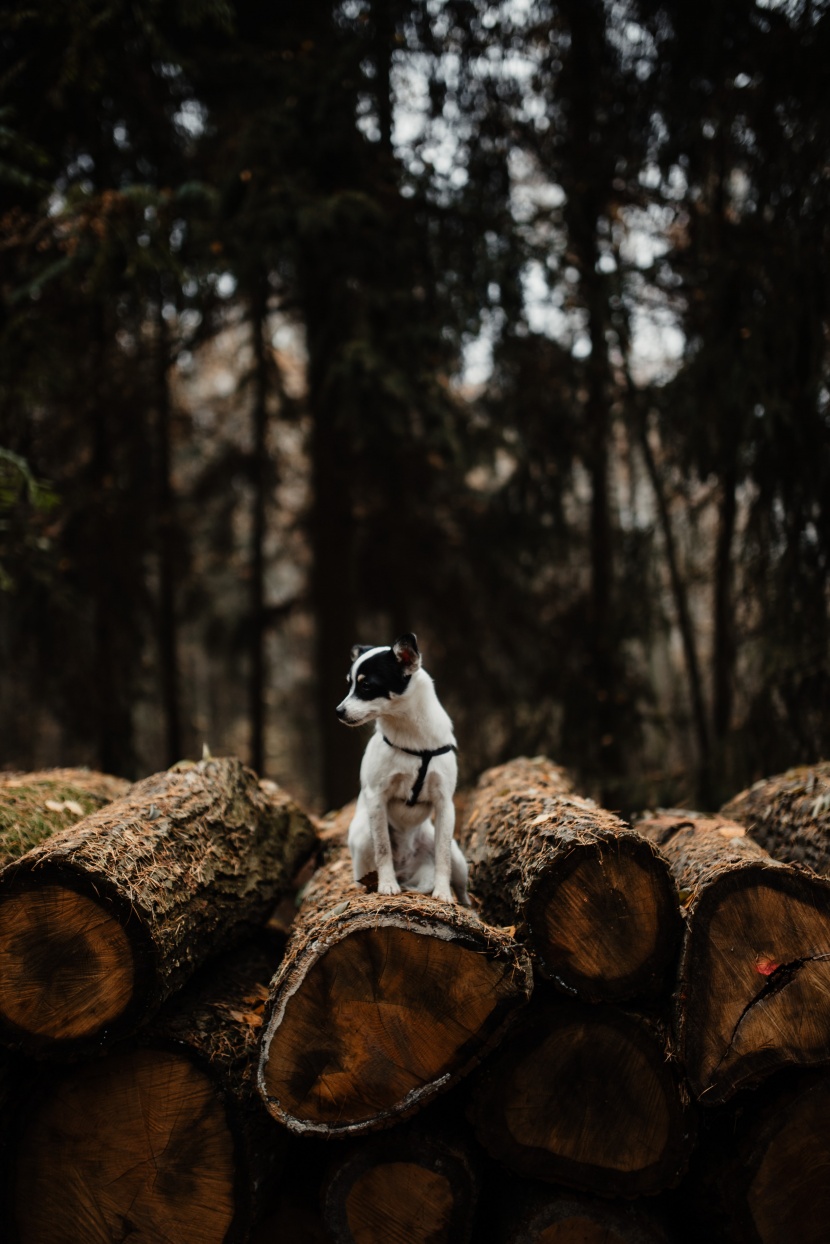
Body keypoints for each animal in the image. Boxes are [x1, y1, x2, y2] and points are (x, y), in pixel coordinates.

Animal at [335, 631, 467, 905]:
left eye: (366, 685)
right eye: (350, 683)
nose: (338, 711)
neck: (412, 737)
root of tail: (408, 871)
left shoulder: (445, 804)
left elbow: (442, 857)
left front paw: (442, 892)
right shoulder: (377, 799)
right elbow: (383, 849)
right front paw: (387, 885)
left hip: (459, 859)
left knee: (462, 884)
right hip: (363, 835)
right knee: (368, 871)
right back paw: (381, 883)